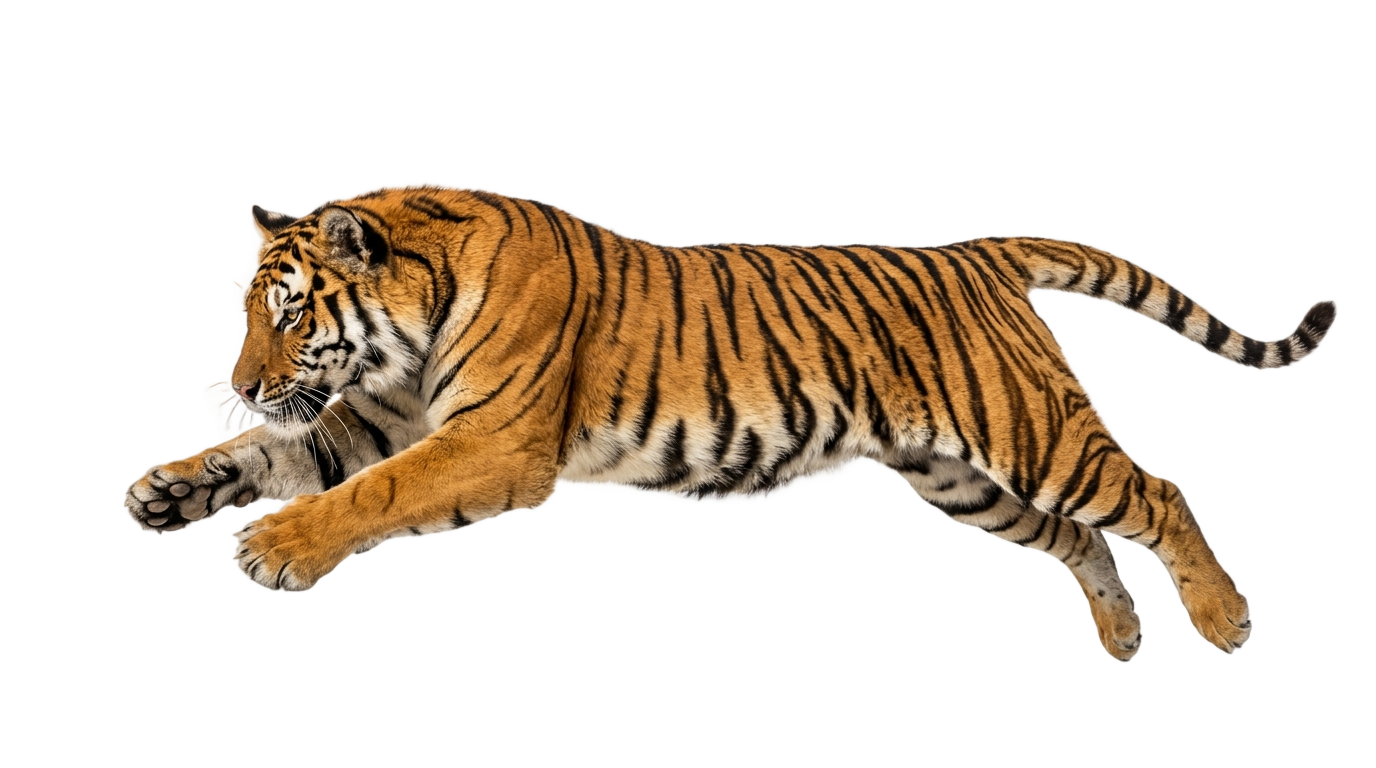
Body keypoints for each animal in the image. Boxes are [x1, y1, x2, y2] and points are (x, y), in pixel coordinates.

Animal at [124, 186, 1334, 659]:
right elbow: (287, 452)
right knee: (1076, 537)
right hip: (958, 479)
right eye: (254, 312)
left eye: (288, 314)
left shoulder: (490, 442)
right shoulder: (384, 415)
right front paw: (173, 485)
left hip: (1031, 437)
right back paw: (1117, 632)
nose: (240, 381)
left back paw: (1222, 619)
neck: (409, 328)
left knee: (1153, 494)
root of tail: (975, 249)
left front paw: (277, 547)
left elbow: (369, 490)